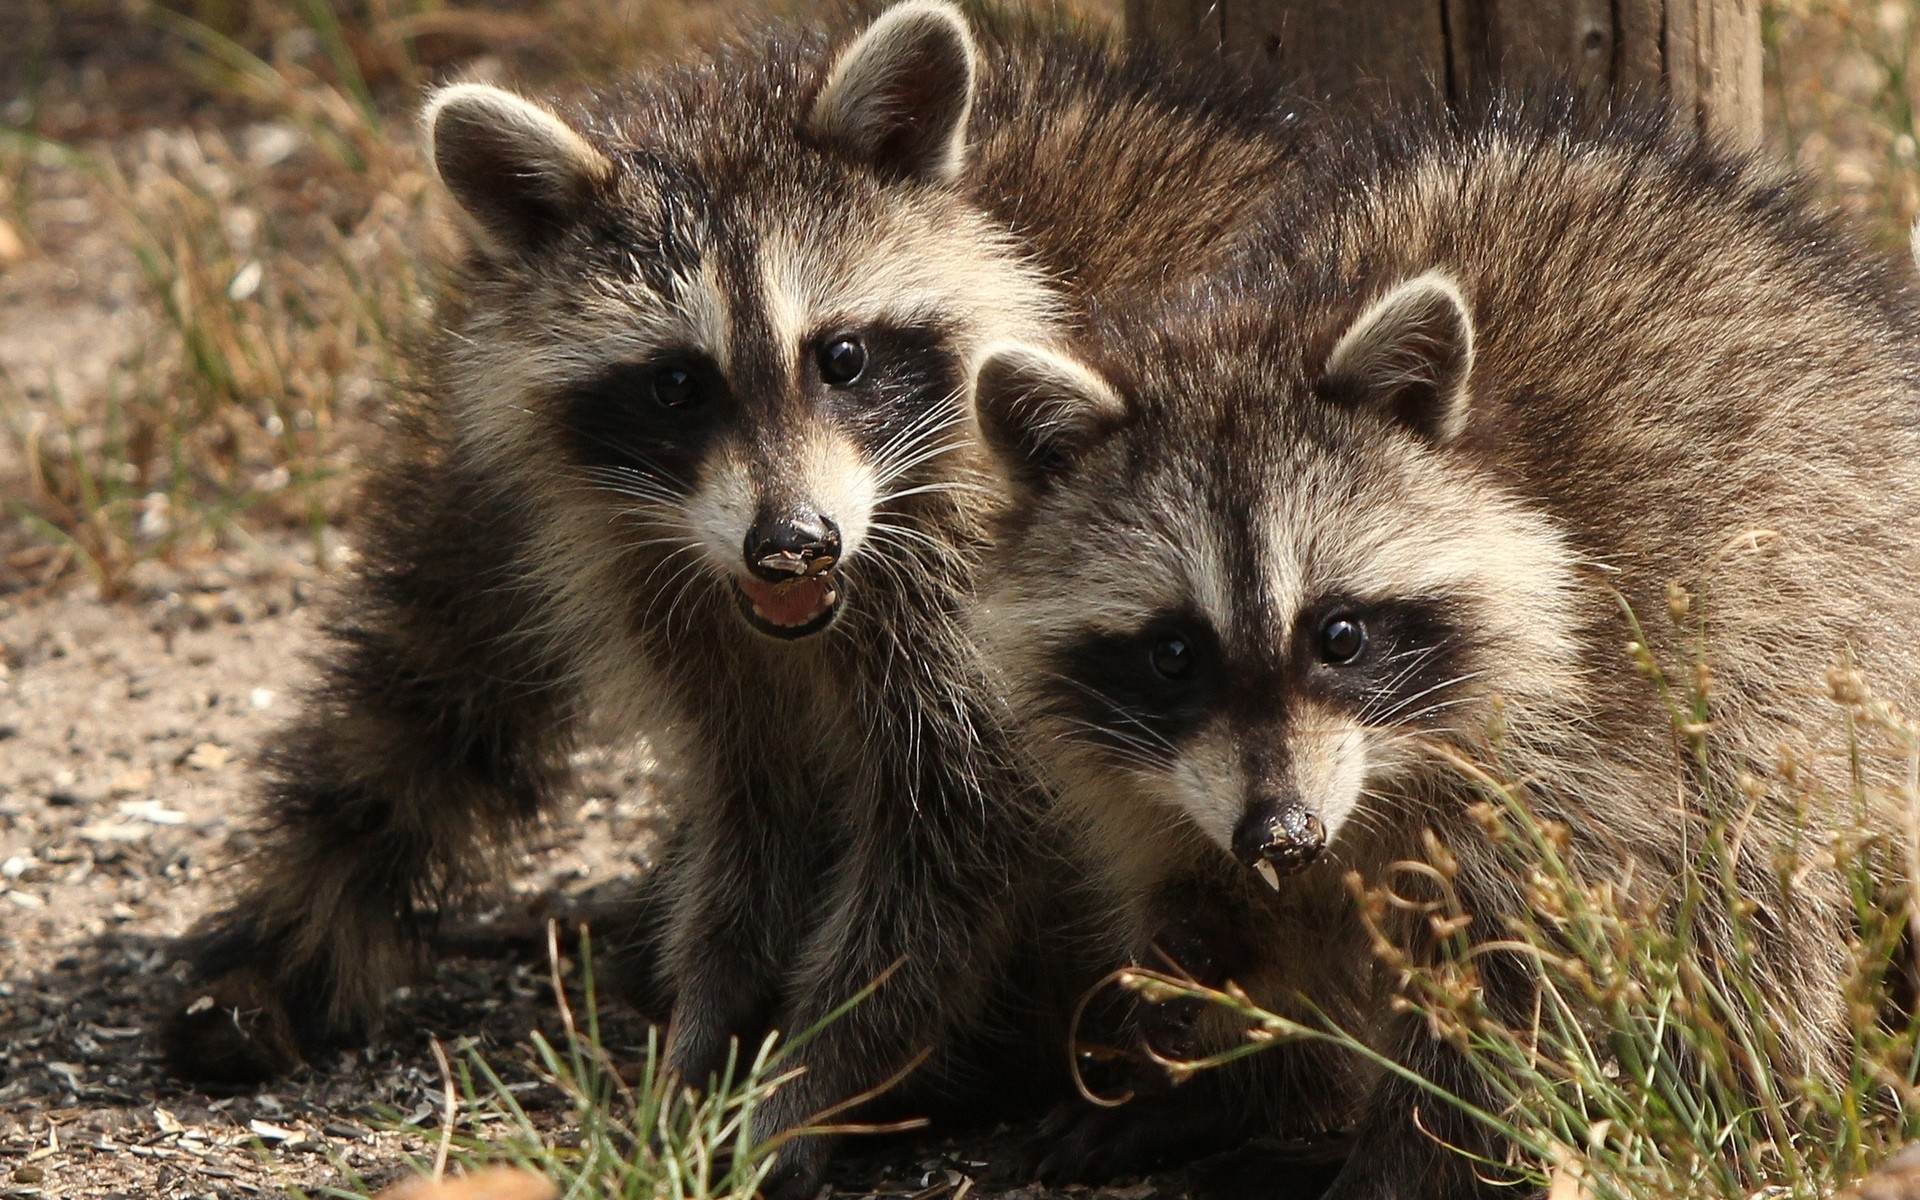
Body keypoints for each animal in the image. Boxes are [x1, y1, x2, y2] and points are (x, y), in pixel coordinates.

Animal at [161, 4, 1305, 1190]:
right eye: (676, 384)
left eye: (842, 357)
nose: (792, 543)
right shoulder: (672, 600)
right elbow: (751, 827)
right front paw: (706, 1039)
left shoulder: (985, 600)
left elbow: (945, 860)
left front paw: (805, 1083)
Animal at [967, 105, 1920, 1198]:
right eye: (1174, 653)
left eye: (1339, 635)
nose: (1282, 833)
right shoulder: (1161, 782)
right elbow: (1210, 906)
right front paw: (1201, 1065)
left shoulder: (1579, 738)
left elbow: (1518, 980)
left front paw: (1410, 1151)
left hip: (1815, 637)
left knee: (1755, 881)